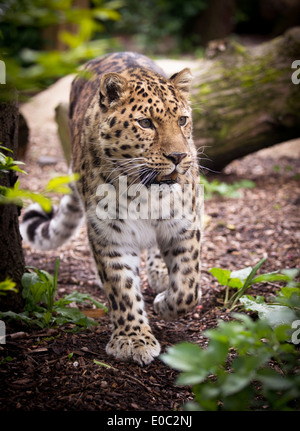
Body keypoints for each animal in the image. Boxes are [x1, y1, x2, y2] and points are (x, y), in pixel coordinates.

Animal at [19, 52, 203, 366]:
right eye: (145, 123)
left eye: (182, 120)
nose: (179, 156)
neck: (145, 194)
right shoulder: (111, 235)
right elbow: (121, 287)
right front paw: (133, 339)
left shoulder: (185, 225)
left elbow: (187, 288)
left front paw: (165, 304)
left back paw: (160, 273)